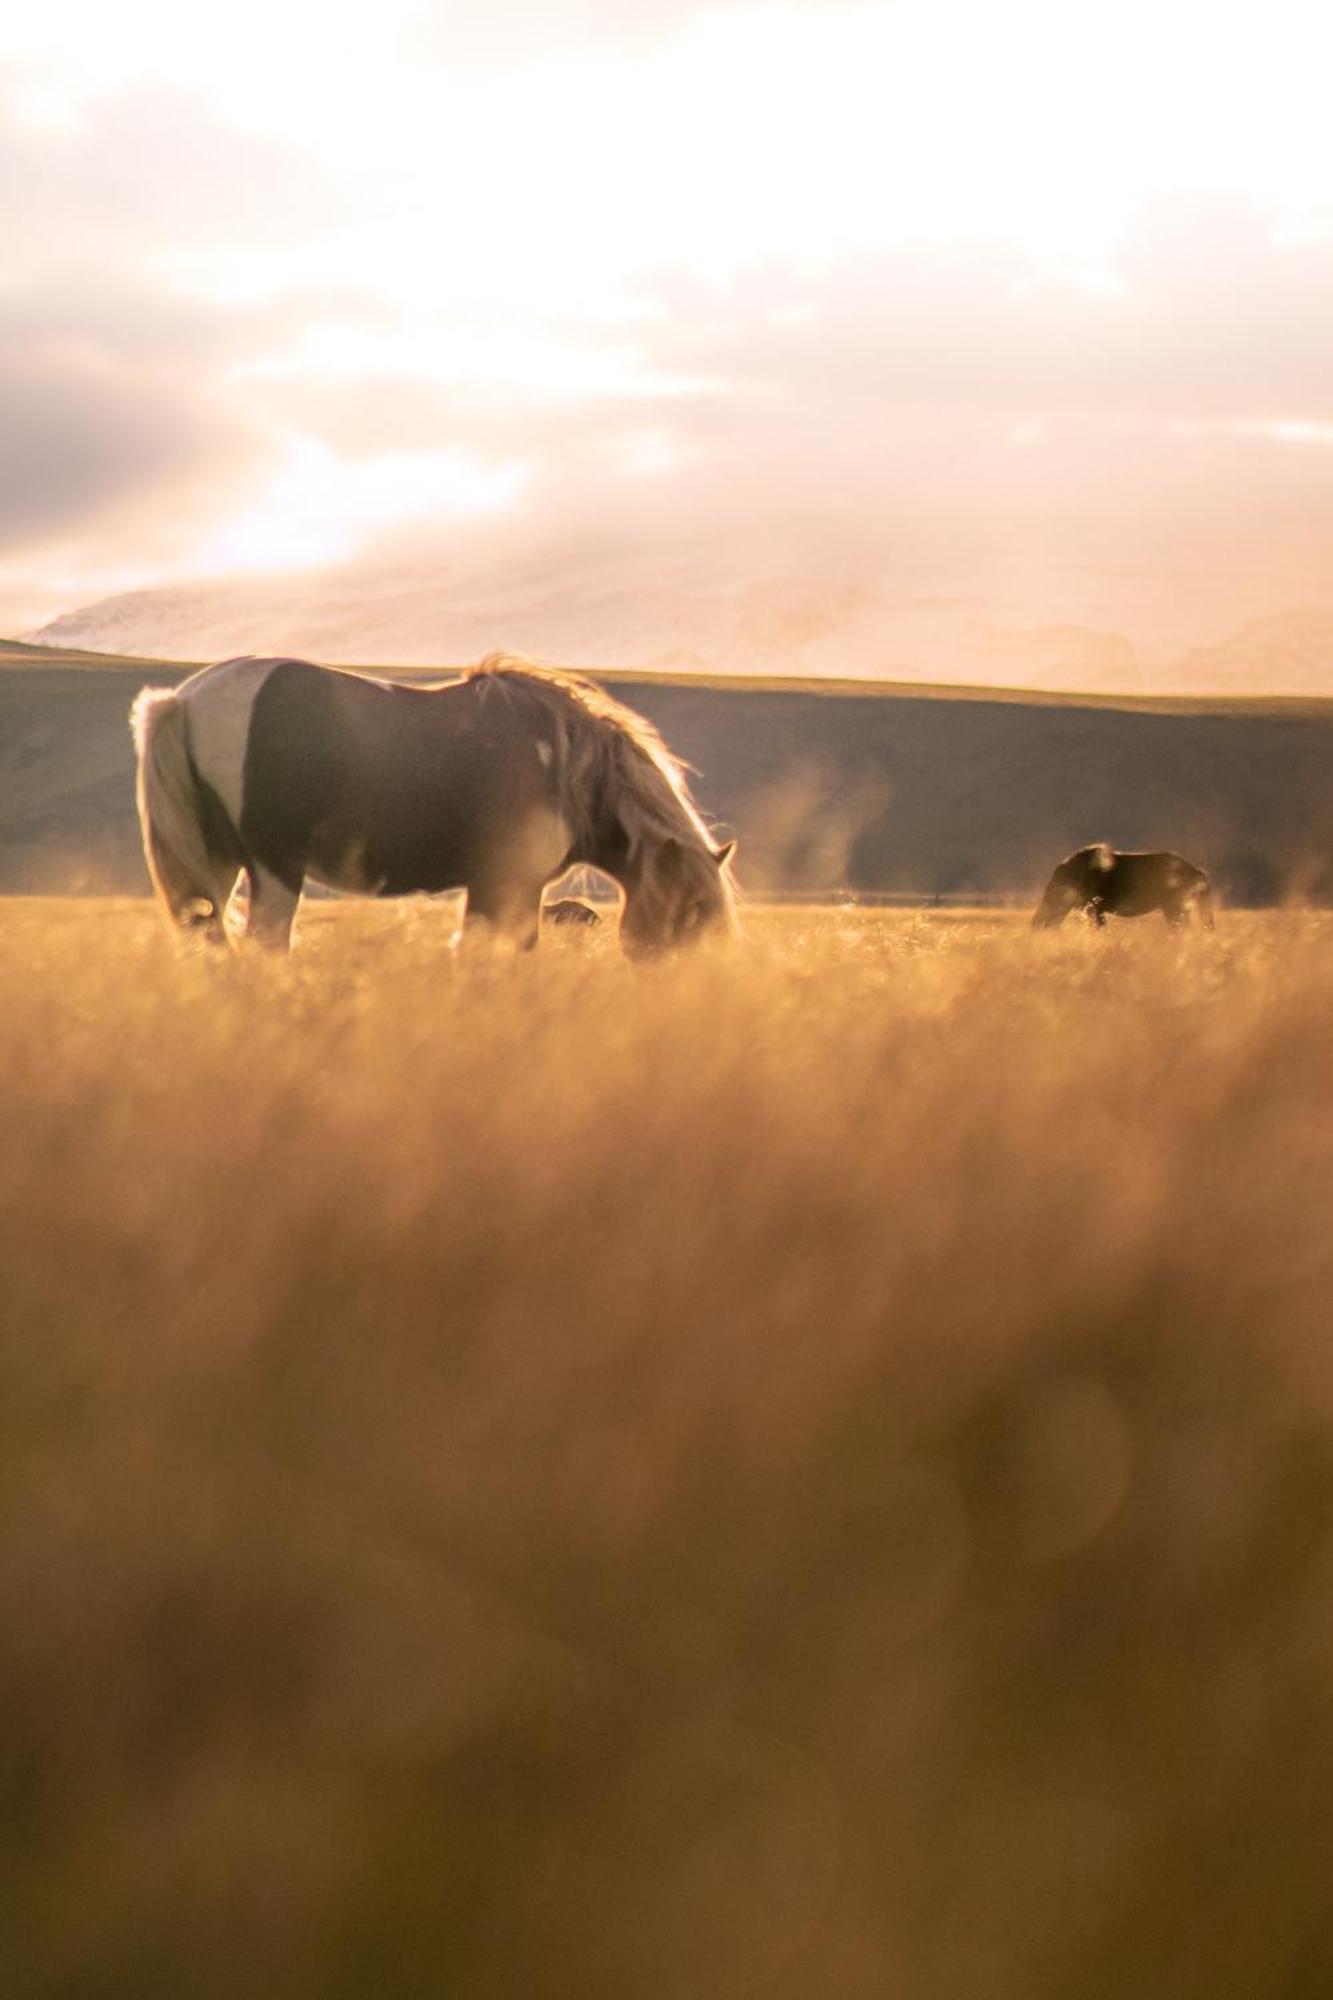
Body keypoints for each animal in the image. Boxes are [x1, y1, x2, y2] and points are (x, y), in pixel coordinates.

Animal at [132, 652, 736, 956]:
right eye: (690, 915)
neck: (569, 768)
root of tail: (182, 702)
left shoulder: (509, 890)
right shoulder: (508, 886)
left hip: (218, 866)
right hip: (275, 868)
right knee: (266, 946)